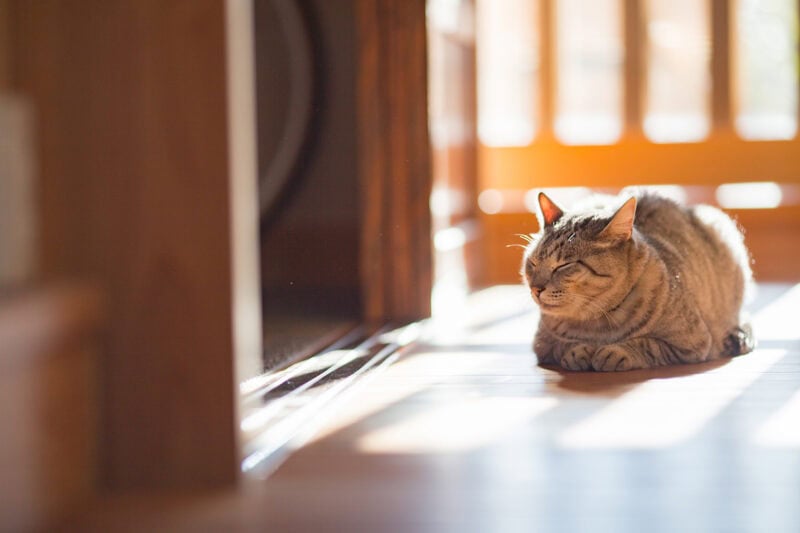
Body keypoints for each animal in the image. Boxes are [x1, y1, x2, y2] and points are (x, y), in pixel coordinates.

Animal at [520, 189, 752, 372]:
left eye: (563, 266)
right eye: (533, 263)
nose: (536, 288)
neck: (597, 322)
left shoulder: (692, 342)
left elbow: (648, 344)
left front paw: (616, 352)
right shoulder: (541, 343)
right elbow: (560, 345)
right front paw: (578, 350)